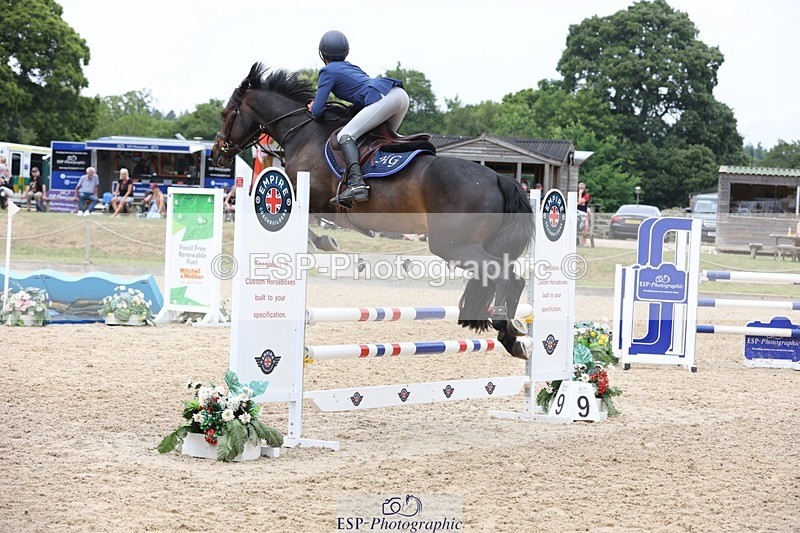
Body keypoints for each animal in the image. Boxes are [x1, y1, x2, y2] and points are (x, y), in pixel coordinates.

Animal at [212, 63, 535, 359]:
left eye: (226, 113)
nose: (217, 153)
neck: (303, 133)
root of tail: (499, 177)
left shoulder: (311, 198)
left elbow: (310, 226)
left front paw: (325, 242)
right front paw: (326, 241)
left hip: (452, 245)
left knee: (503, 274)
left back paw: (506, 327)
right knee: (511, 276)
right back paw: (513, 337)